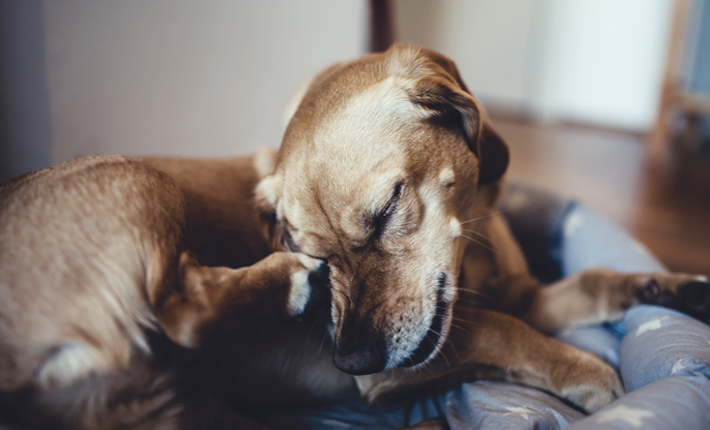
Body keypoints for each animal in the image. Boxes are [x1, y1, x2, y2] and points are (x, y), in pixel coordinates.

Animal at [1, 45, 710, 428]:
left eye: (386, 209)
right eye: (306, 246)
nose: (350, 360)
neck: (473, 256)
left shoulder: (527, 295)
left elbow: (594, 281)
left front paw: (672, 287)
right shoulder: (417, 364)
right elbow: (510, 333)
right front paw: (593, 375)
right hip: (138, 175)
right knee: (180, 308)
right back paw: (280, 286)